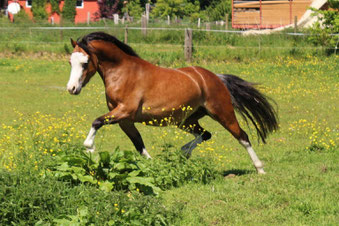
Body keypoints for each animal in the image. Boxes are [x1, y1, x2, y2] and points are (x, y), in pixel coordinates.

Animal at [67, 31, 278, 174]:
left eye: (85, 63)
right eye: (70, 62)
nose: (71, 89)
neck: (123, 73)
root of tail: (215, 77)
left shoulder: (124, 112)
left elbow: (96, 122)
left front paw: (90, 148)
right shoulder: (124, 121)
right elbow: (139, 145)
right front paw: (154, 167)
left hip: (223, 113)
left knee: (243, 137)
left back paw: (260, 169)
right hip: (186, 121)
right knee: (205, 134)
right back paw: (184, 152)